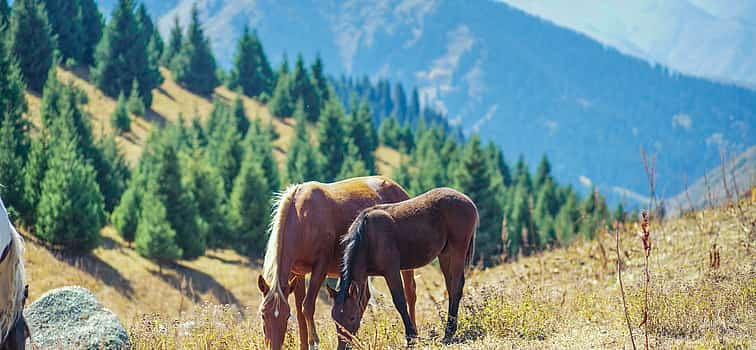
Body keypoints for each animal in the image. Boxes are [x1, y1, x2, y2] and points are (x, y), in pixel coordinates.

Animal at [256, 176, 416, 350]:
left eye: (286, 316)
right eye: (263, 314)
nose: (273, 345)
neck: (302, 217)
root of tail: (398, 188)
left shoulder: (320, 267)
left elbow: (307, 307)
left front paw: (314, 342)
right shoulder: (296, 272)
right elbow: (299, 312)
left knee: (410, 293)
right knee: (363, 299)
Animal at [328, 187, 476, 346]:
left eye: (351, 318)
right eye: (335, 320)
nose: (343, 345)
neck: (367, 237)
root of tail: (468, 201)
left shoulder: (391, 271)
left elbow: (399, 301)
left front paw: (411, 337)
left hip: (457, 251)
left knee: (456, 287)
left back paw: (449, 332)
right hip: (445, 254)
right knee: (451, 287)